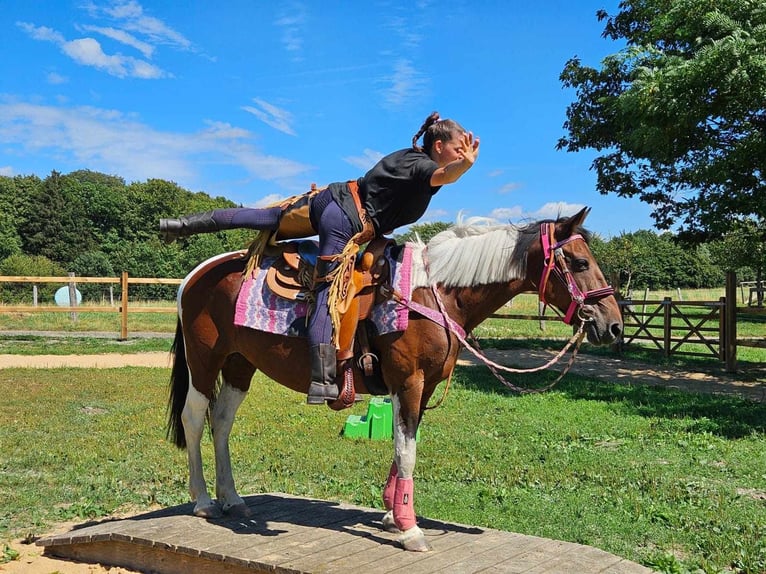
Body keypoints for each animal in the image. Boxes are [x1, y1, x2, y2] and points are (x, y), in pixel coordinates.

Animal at [166, 207, 624, 552]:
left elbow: (403, 446)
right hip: (205, 361)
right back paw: (204, 501)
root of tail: (194, 275)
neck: (434, 293)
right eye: (580, 262)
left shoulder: (420, 388)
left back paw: (232, 498)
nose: (614, 326)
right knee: (195, 418)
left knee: (222, 422)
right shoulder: (410, 382)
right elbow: (407, 452)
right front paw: (410, 528)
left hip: (240, 364)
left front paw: (391, 511)